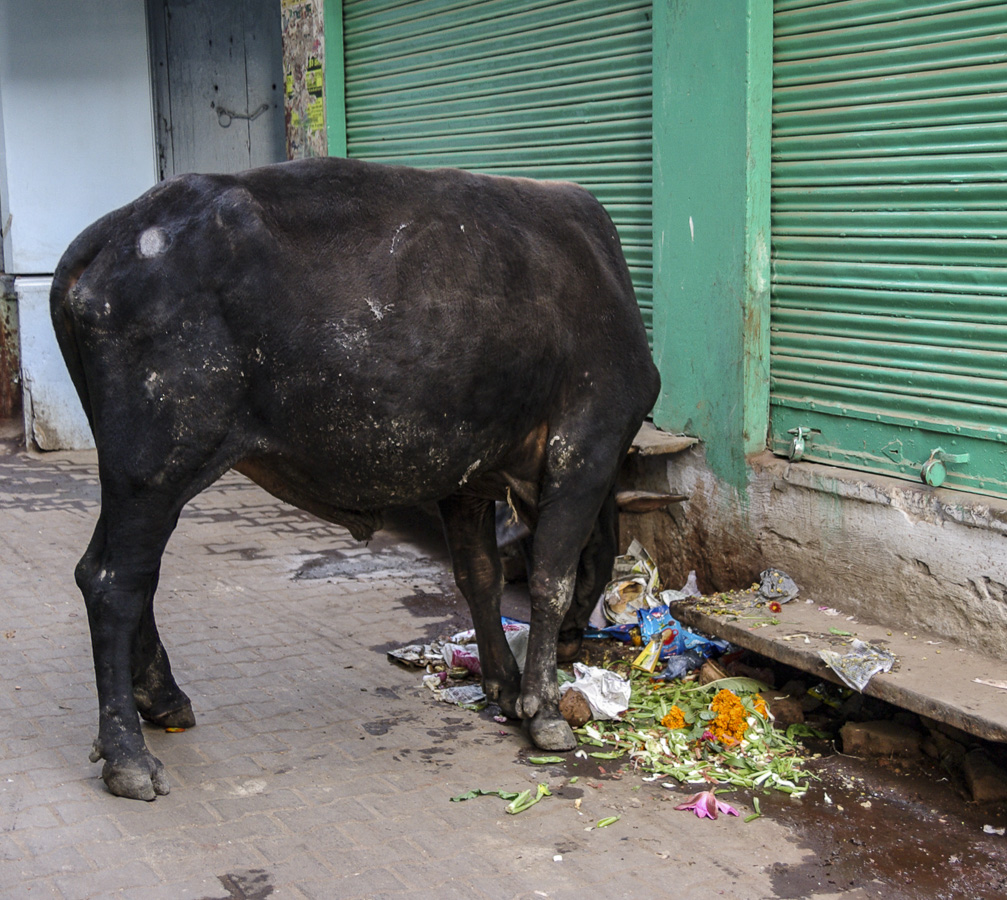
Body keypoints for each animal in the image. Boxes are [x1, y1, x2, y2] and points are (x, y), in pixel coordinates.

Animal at [50, 157, 660, 800]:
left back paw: (163, 699)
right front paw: (541, 710)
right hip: (156, 466)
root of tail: (118, 226)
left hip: (133, 475)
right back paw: (128, 756)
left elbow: (480, 577)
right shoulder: (587, 445)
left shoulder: (465, 474)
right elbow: (551, 580)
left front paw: (504, 682)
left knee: (116, 574)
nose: (574, 645)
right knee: (115, 584)